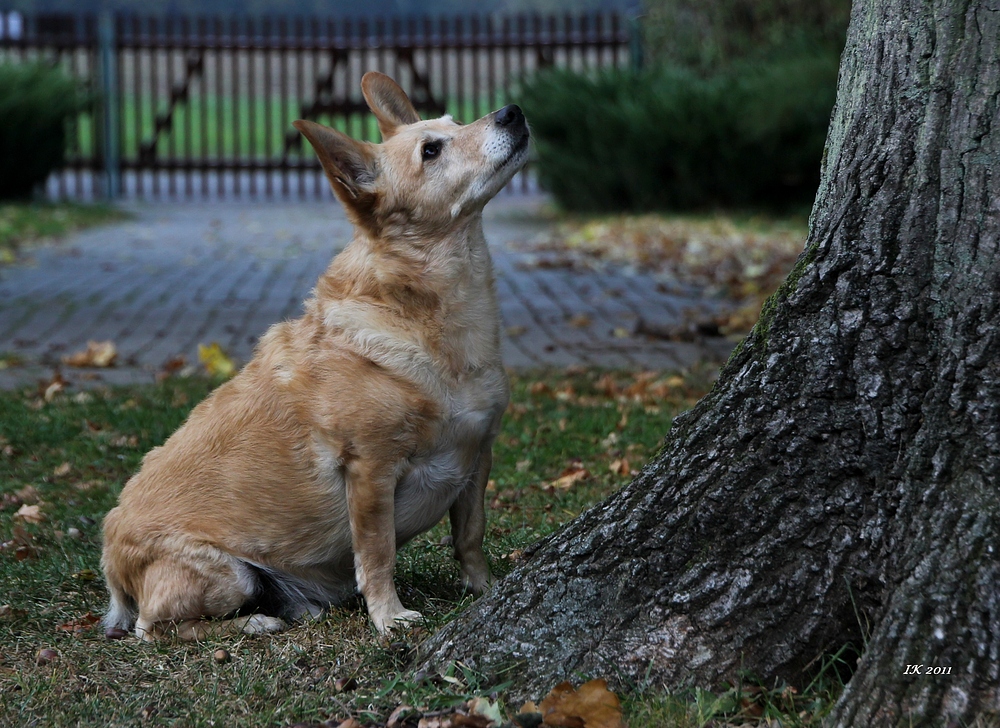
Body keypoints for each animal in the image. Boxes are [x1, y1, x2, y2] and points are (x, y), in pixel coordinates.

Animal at [99, 74, 532, 640]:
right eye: (431, 151)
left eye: (456, 122)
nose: (513, 111)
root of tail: (110, 557)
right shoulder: (370, 471)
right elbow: (377, 553)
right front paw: (389, 617)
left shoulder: (479, 455)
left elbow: (471, 535)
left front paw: (485, 590)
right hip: (227, 575)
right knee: (155, 628)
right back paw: (257, 622)